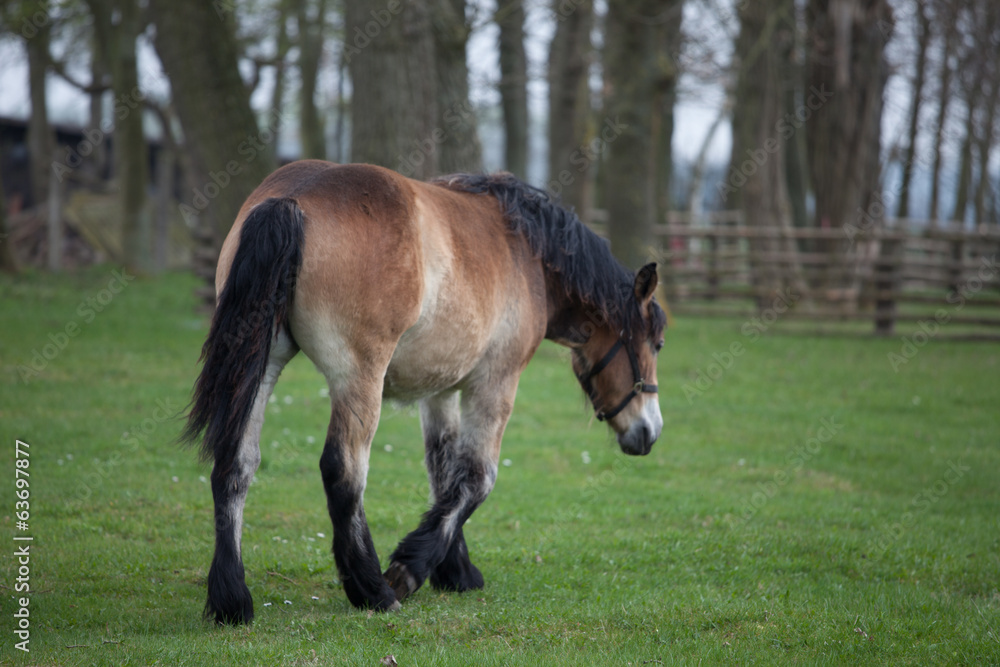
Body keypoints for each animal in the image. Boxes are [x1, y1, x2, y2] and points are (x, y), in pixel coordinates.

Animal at [183, 160, 667, 625]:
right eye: (658, 343)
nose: (651, 431)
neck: (527, 250)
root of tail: (292, 198)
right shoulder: (494, 383)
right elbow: (478, 477)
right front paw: (410, 569)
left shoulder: (441, 392)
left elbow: (445, 475)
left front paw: (455, 570)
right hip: (359, 378)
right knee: (344, 472)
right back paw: (372, 590)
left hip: (262, 364)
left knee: (236, 464)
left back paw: (232, 599)